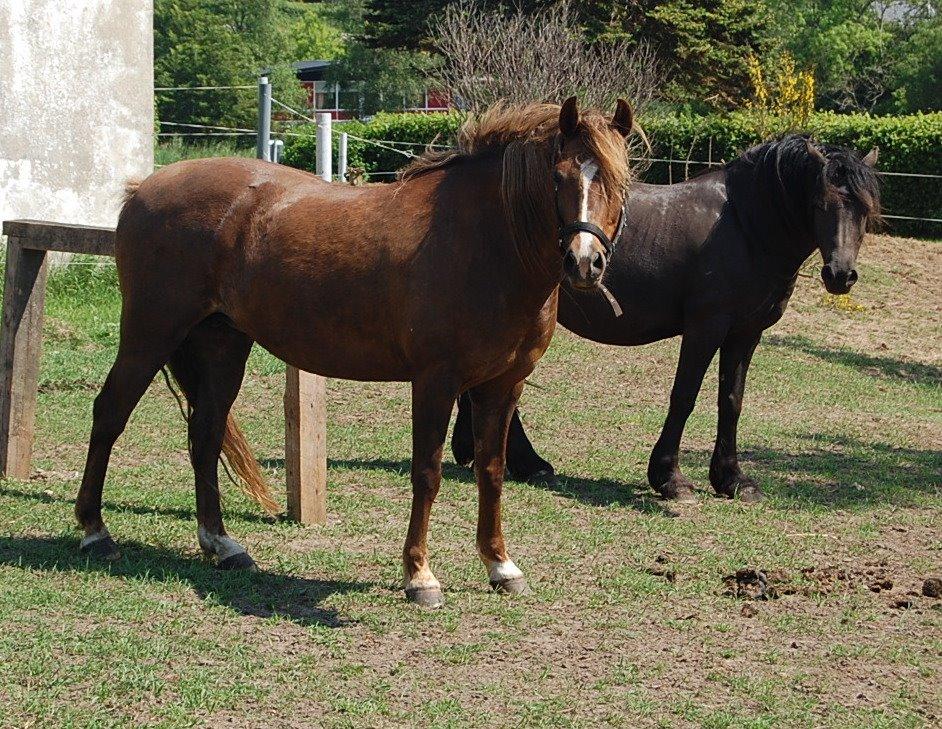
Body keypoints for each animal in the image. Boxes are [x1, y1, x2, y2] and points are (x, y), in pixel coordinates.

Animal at [75, 98, 636, 608]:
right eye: (559, 178)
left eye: (620, 183)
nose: (585, 263)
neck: (483, 241)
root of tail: (143, 190)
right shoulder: (436, 382)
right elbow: (427, 473)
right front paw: (419, 576)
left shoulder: (502, 386)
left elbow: (491, 472)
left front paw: (500, 566)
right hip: (150, 333)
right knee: (109, 415)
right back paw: (94, 532)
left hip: (221, 345)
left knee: (206, 435)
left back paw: (222, 545)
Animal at [454, 134, 880, 500]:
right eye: (820, 204)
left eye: (865, 210)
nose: (840, 275)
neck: (745, 226)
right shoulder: (706, 327)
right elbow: (685, 396)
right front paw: (669, 478)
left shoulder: (746, 332)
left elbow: (732, 400)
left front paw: (732, 479)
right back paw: (525, 462)